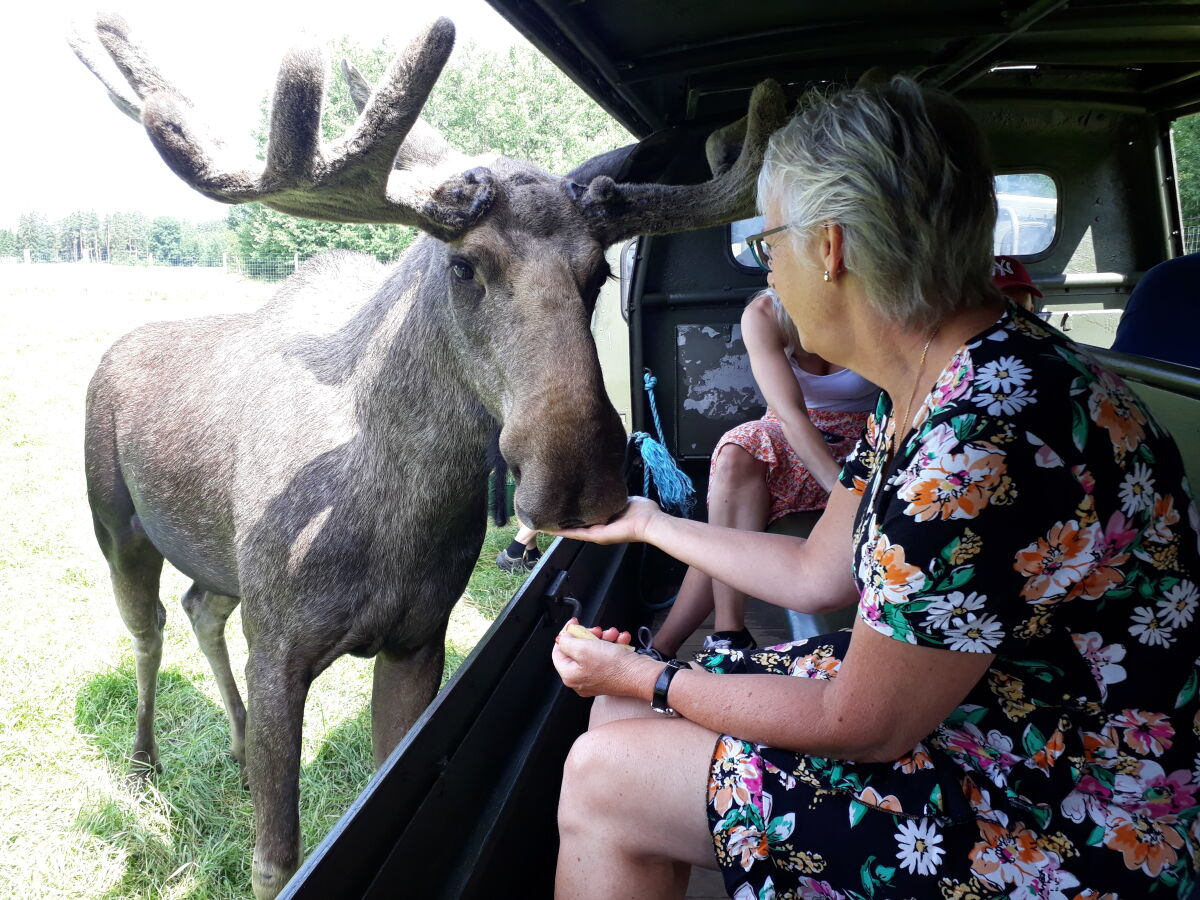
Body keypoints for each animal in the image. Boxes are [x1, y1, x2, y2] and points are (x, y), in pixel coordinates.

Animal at [75, 14, 787, 900]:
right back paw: (144, 761)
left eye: (598, 272)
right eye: (462, 264)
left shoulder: (418, 638)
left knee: (202, 605)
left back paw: (233, 750)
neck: (390, 511)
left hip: (214, 557)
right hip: (117, 523)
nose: (579, 476)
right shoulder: (280, 648)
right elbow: (274, 859)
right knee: (147, 631)